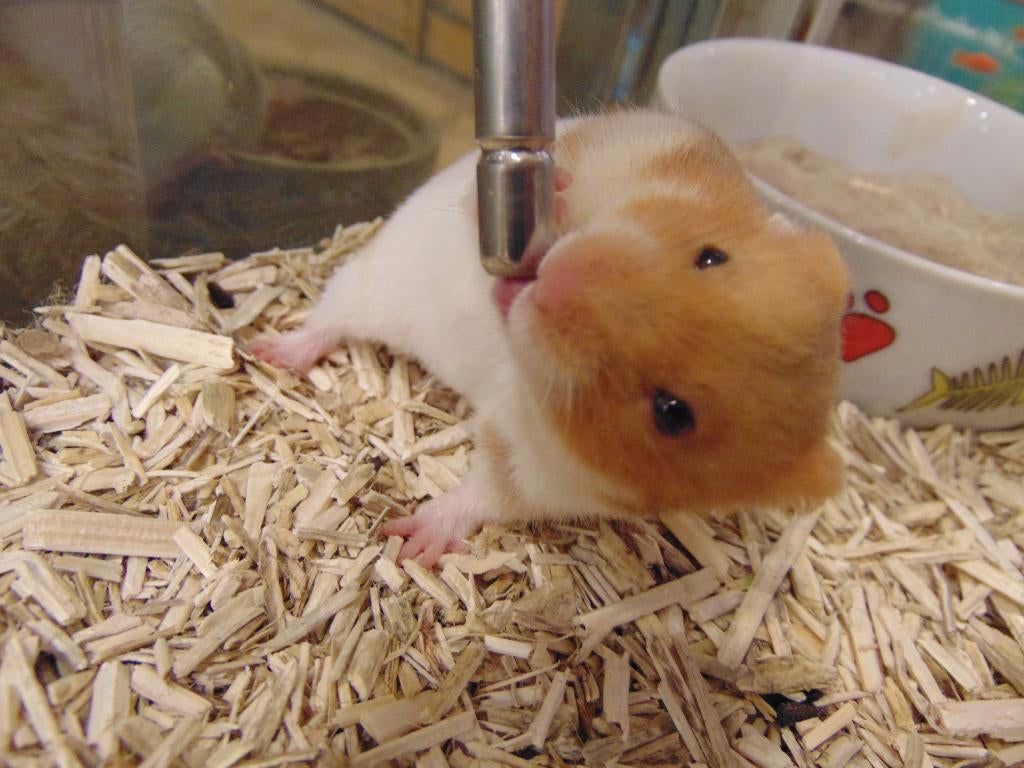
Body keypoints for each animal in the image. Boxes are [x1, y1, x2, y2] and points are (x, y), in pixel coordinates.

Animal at [252, 110, 850, 566]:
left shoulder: (539, 470)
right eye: (711, 256)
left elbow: (486, 495)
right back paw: (268, 353)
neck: (520, 371)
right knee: (327, 320)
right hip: (366, 281)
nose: (558, 278)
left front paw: (407, 542)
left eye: (673, 413)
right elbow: (491, 205)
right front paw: (551, 204)